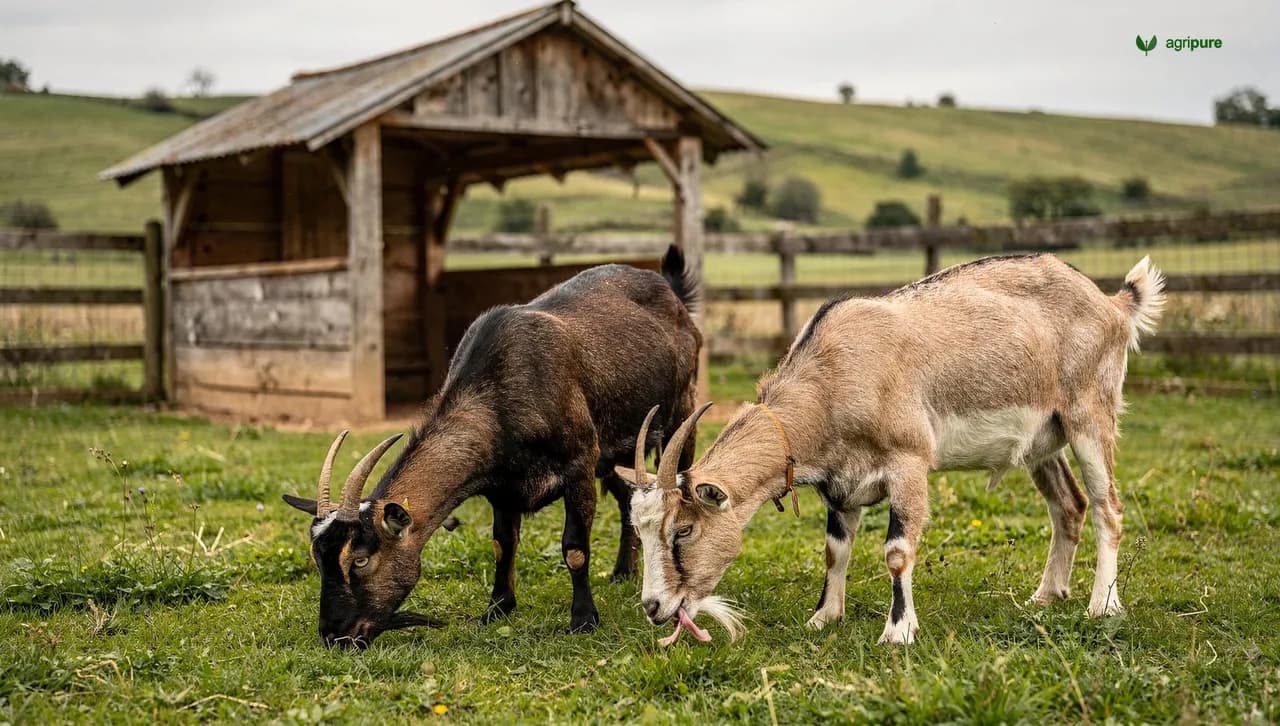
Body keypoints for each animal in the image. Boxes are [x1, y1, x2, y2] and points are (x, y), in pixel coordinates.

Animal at [284, 246, 701, 648]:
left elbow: (574, 549)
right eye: (318, 560)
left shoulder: (579, 462)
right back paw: (621, 572)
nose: (334, 635)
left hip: (680, 414)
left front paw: (583, 619)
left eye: (360, 559)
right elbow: (503, 544)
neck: (501, 395)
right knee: (628, 494)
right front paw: (498, 608)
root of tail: (672, 289)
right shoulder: (504, 486)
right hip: (614, 454)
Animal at [616, 254, 1165, 645]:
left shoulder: (908, 462)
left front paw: (898, 631)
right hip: (1042, 440)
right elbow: (834, 550)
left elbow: (898, 551)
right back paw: (1047, 596)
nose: (653, 608)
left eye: (683, 530)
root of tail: (1113, 304)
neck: (832, 378)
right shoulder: (839, 483)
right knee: (1068, 505)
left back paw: (1102, 605)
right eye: (640, 530)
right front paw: (823, 617)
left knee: (1107, 506)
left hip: (1090, 413)